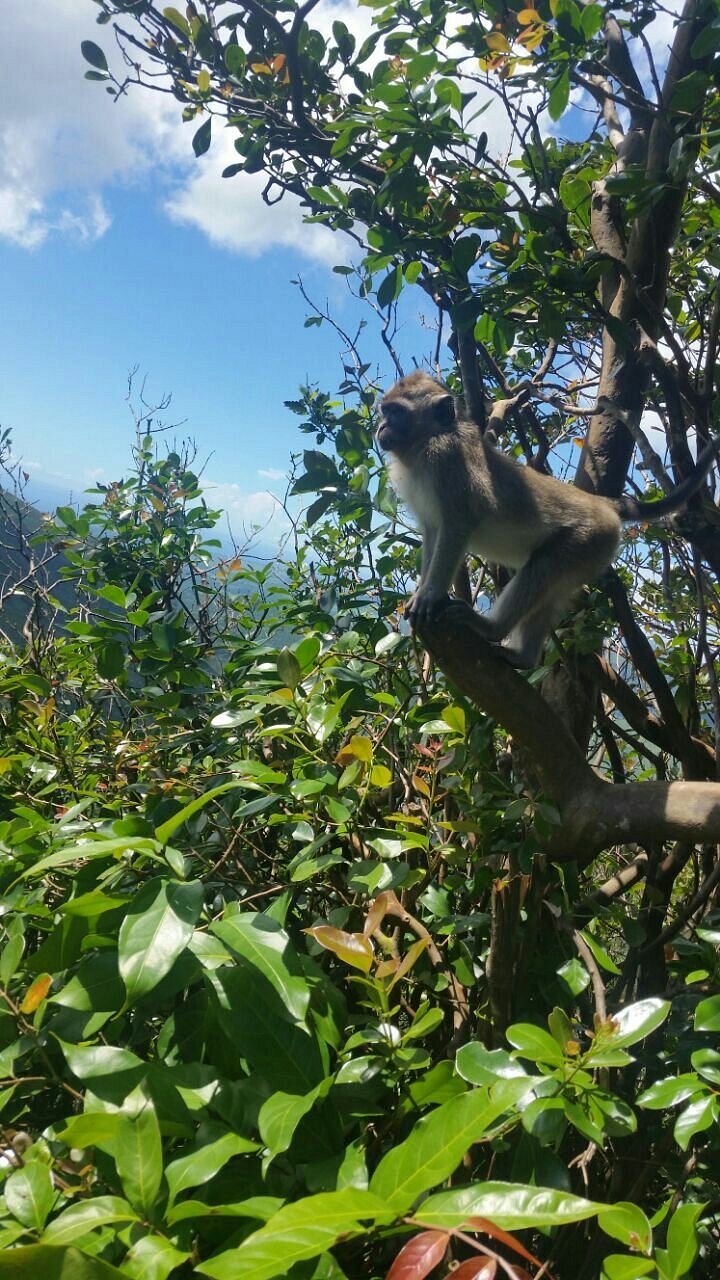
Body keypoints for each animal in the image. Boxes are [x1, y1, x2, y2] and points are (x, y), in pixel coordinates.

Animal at [379, 368, 712, 670]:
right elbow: (433, 530)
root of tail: (600, 503)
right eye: (385, 411)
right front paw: (421, 590)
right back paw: (524, 657)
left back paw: (492, 629)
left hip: (589, 538)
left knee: (542, 569)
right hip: (592, 555)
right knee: (549, 590)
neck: (424, 442)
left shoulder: (445, 458)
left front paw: (430, 595)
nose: (381, 426)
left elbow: (456, 525)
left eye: (395, 412)